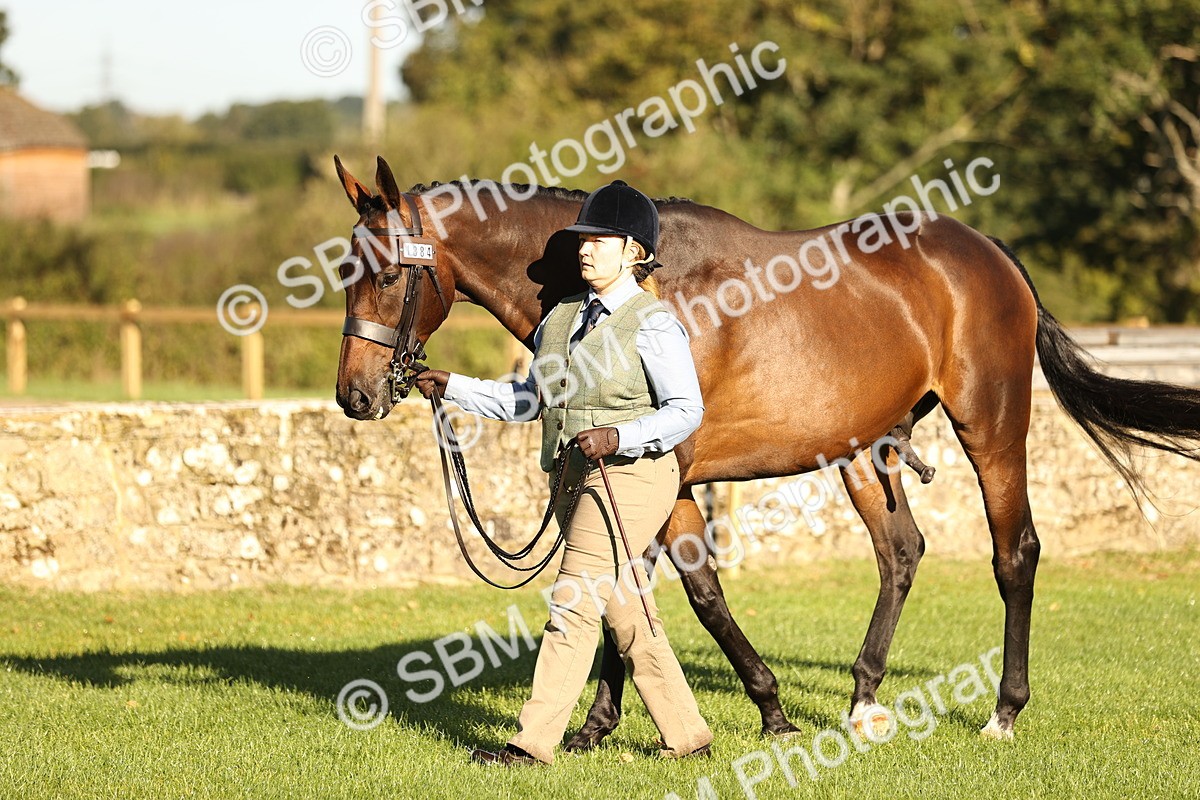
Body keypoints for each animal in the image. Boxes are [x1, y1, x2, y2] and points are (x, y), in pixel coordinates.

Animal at [332, 155, 1200, 745]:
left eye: (385, 276)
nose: (356, 395)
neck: (634, 291)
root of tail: (987, 250)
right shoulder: (657, 475)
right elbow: (655, 590)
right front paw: (614, 722)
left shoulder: (663, 466)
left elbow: (667, 589)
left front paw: (755, 711)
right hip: (865, 453)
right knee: (901, 552)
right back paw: (863, 698)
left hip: (991, 426)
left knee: (1014, 552)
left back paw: (1002, 712)